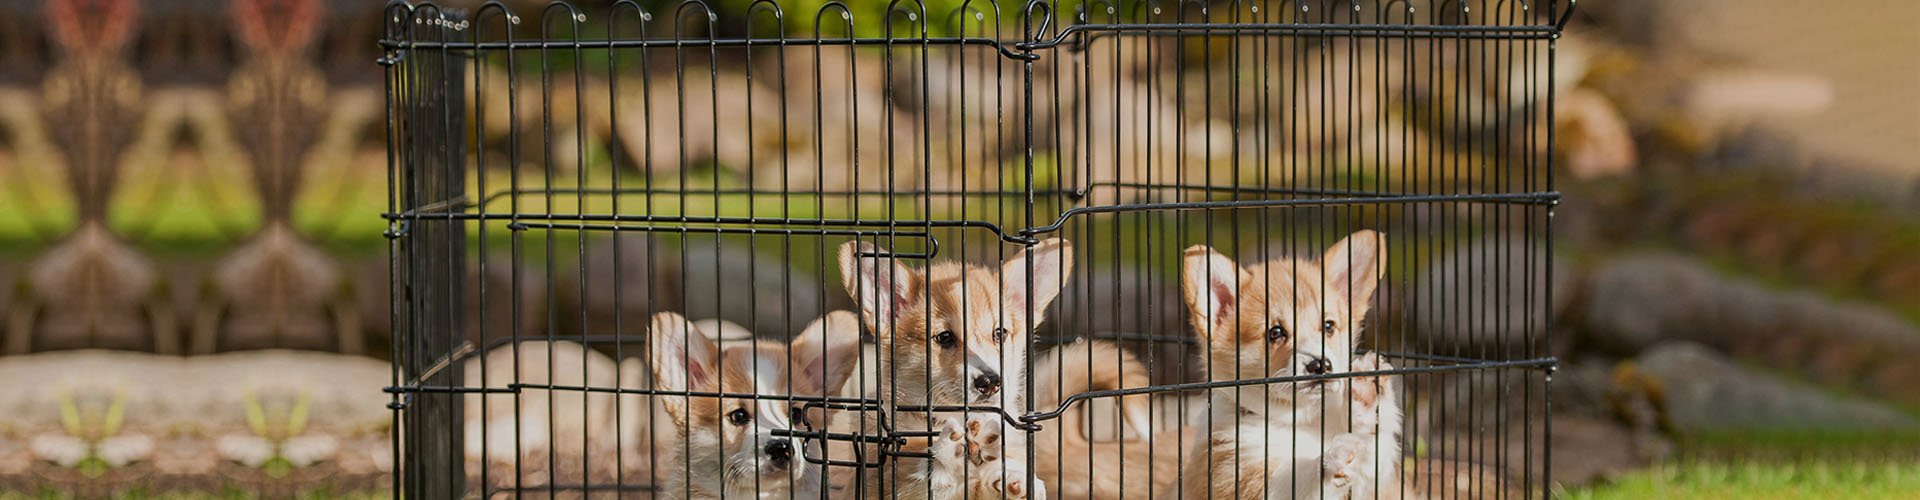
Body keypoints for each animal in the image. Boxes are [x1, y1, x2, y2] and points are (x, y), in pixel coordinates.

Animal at [833, 239, 1075, 500]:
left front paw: (1015, 475)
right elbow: (920, 473)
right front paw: (951, 452)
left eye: (999, 333)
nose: (990, 382)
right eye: (945, 337)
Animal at [1175, 229, 1405, 496]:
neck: (1299, 420)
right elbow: (1294, 477)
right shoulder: (1235, 475)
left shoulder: (1370, 487)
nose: (1320, 365)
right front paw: (1329, 460)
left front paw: (1366, 393)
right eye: (1275, 332)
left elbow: (1375, 452)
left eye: (1328, 326)